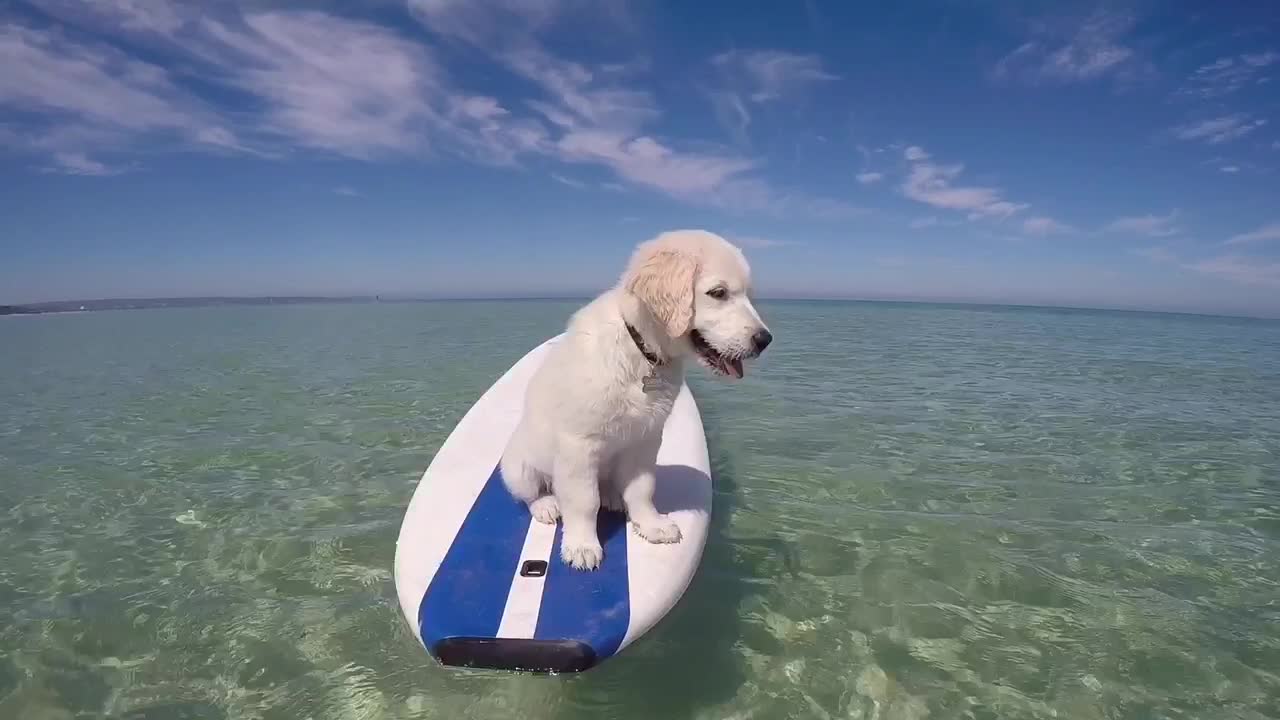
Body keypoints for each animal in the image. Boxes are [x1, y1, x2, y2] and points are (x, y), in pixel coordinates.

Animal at [496, 228, 768, 566]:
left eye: (748, 295)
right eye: (718, 293)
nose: (765, 340)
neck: (642, 350)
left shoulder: (646, 438)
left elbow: (641, 488)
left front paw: (650, 524)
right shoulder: (578, 444)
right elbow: (583, 500)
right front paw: (582, 544)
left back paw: (613, 495)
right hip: (519, 466)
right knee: (531, 493)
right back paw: (547, 504)